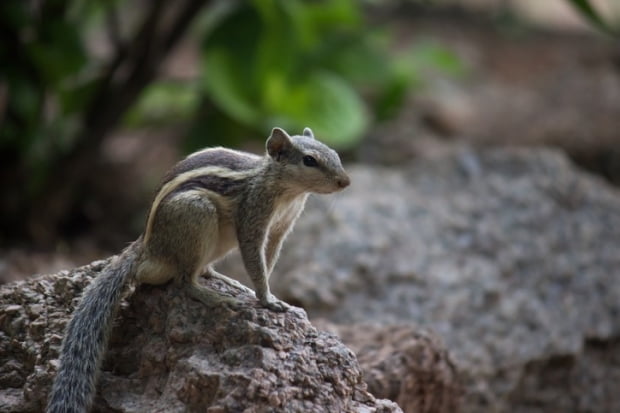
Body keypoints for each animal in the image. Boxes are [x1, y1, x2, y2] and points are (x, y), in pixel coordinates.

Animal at [46, 127, 352, 410]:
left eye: (334, 153)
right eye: (309, 160)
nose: (345, 182)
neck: (284, 189)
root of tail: (147, 247)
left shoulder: (281, 228)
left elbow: (270, 259)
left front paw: (269, 294)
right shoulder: (252, 219)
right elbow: (255, 259)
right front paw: (266, 299)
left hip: (217, 240)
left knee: (202, 271)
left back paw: (229, 282)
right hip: (198, 214)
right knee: (184, 281)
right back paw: (216, 298)